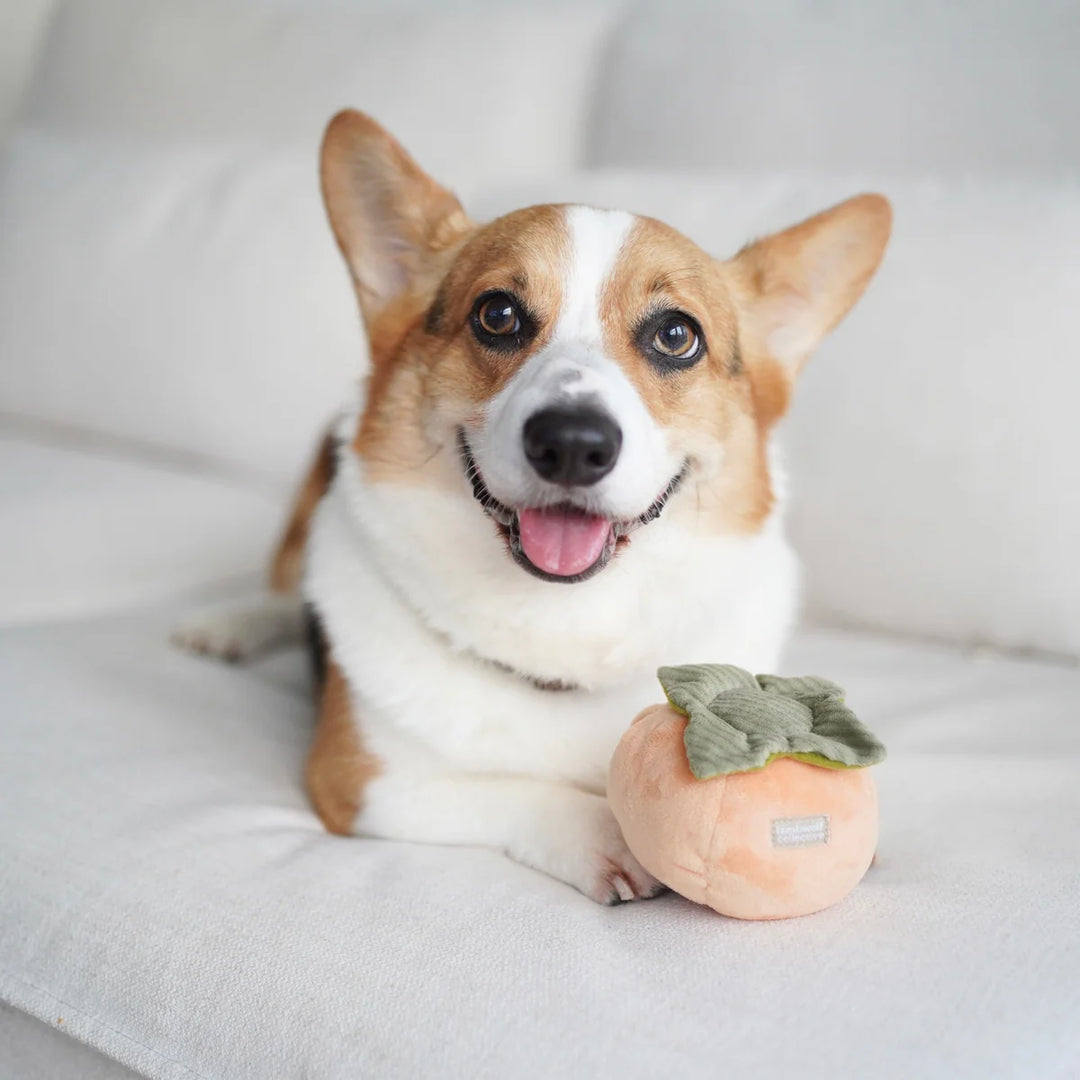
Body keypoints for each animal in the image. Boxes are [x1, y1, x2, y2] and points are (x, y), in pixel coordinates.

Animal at [174, 111, 885, 902]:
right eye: (497, 314)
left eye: (676, 335)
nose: (572, 443)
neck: (563, 623)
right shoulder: (362, 781)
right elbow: (508, 789)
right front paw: (612, 831)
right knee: (280, 584)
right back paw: (229, 624)